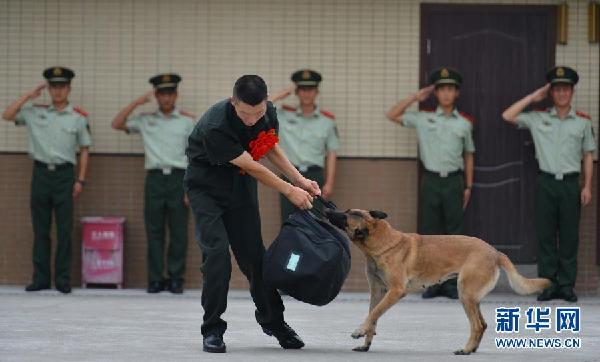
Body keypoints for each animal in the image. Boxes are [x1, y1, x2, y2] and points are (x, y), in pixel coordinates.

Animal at [326, 208, 552, 354]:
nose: (327, 210)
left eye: (345, 216)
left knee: (477, 325)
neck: (381, 241)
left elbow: (374, 313)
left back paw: (466, 349)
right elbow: (373, 315)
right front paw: (366, 342)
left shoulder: (395, 291)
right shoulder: (377, 291)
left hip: (466, 294)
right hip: (471, 296)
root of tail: (494, 252)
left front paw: (359, 331)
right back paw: (473, 349)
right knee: (483, 324)